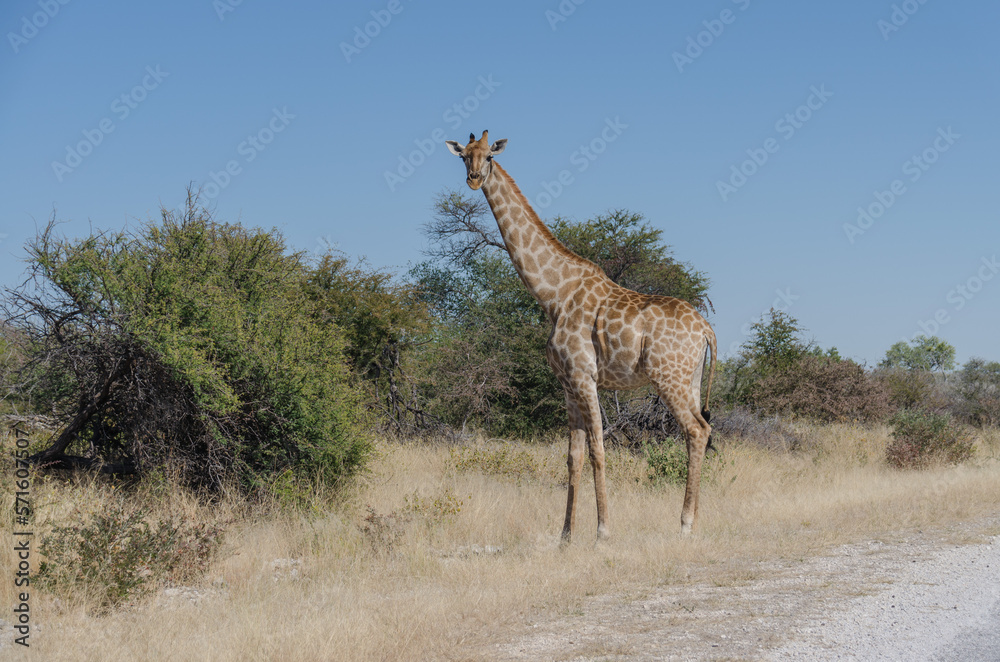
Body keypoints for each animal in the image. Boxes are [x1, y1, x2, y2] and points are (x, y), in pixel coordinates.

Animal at [444, 131, 717, 543]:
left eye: (489, 156)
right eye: (463, 156)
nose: (474, 178)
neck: (553, 294)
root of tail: (706, 329)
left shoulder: (585, 376)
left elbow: (598, 449)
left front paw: (603, 530)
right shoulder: (567, 383)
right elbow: (572, 457)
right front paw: (565, 537)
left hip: (668, 377)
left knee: (697, 430)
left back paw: (684, 524)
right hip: (692, 379)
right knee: (697, 431)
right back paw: (693, 521)